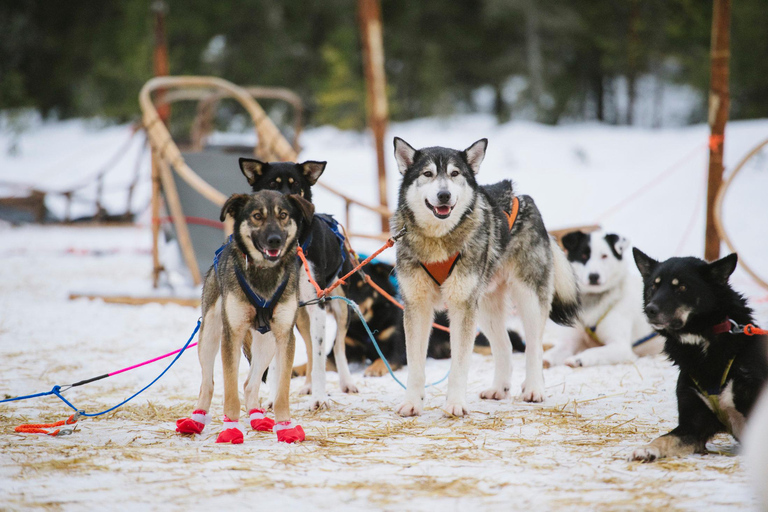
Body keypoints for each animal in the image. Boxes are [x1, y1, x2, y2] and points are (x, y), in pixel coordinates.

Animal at [176, 192, 314, 444]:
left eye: (283, 215)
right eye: (257, 216)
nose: (274, 240)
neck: (264, 273)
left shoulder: (284, 336)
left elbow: (281, 391)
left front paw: (285, 427)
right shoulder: (231, 335)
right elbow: (230, 392)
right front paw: (231, 429)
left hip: (267, 344)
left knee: (250, 383)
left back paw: (257, 416)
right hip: (210, 335)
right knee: (207, 383)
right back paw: (196, 420)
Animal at [238, 158, 356, 410]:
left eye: (295, 185)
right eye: (272, 185)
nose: (284, 206)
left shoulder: (317, 305)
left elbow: (321, 358)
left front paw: (320, 399)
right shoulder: (273, 311)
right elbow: (276, 363)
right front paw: (273, 398)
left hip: (340, 305)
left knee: (337, 346)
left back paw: (346, 382)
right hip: (299, 317)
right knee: (310, 348)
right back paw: (308, 385)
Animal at [392, 137, 580, 416]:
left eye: (455, 174)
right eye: (427, 174)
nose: (444, 195)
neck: (438, 240)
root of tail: (520, 195)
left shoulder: (461, 307)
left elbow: (459, 365)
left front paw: (455, 404)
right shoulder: (417, 306)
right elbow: (415, 365)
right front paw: (412, 403)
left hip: (527, 300)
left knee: (533, 348)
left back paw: (534, 389)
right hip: (484, 308)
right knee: (506, 347)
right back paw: (499, 389)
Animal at [544, 229, 664, 368]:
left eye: (604, 256)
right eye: (583, 256)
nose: (594, 276)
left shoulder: (620, 347)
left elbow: (595, 351)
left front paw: (579, 359)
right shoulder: (568, 343)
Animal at [632, 250, 768, 462]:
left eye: (682, 287)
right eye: (654, 286)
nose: (650, 310)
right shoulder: (692, 426)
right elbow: (665, 438)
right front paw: (648, 449)